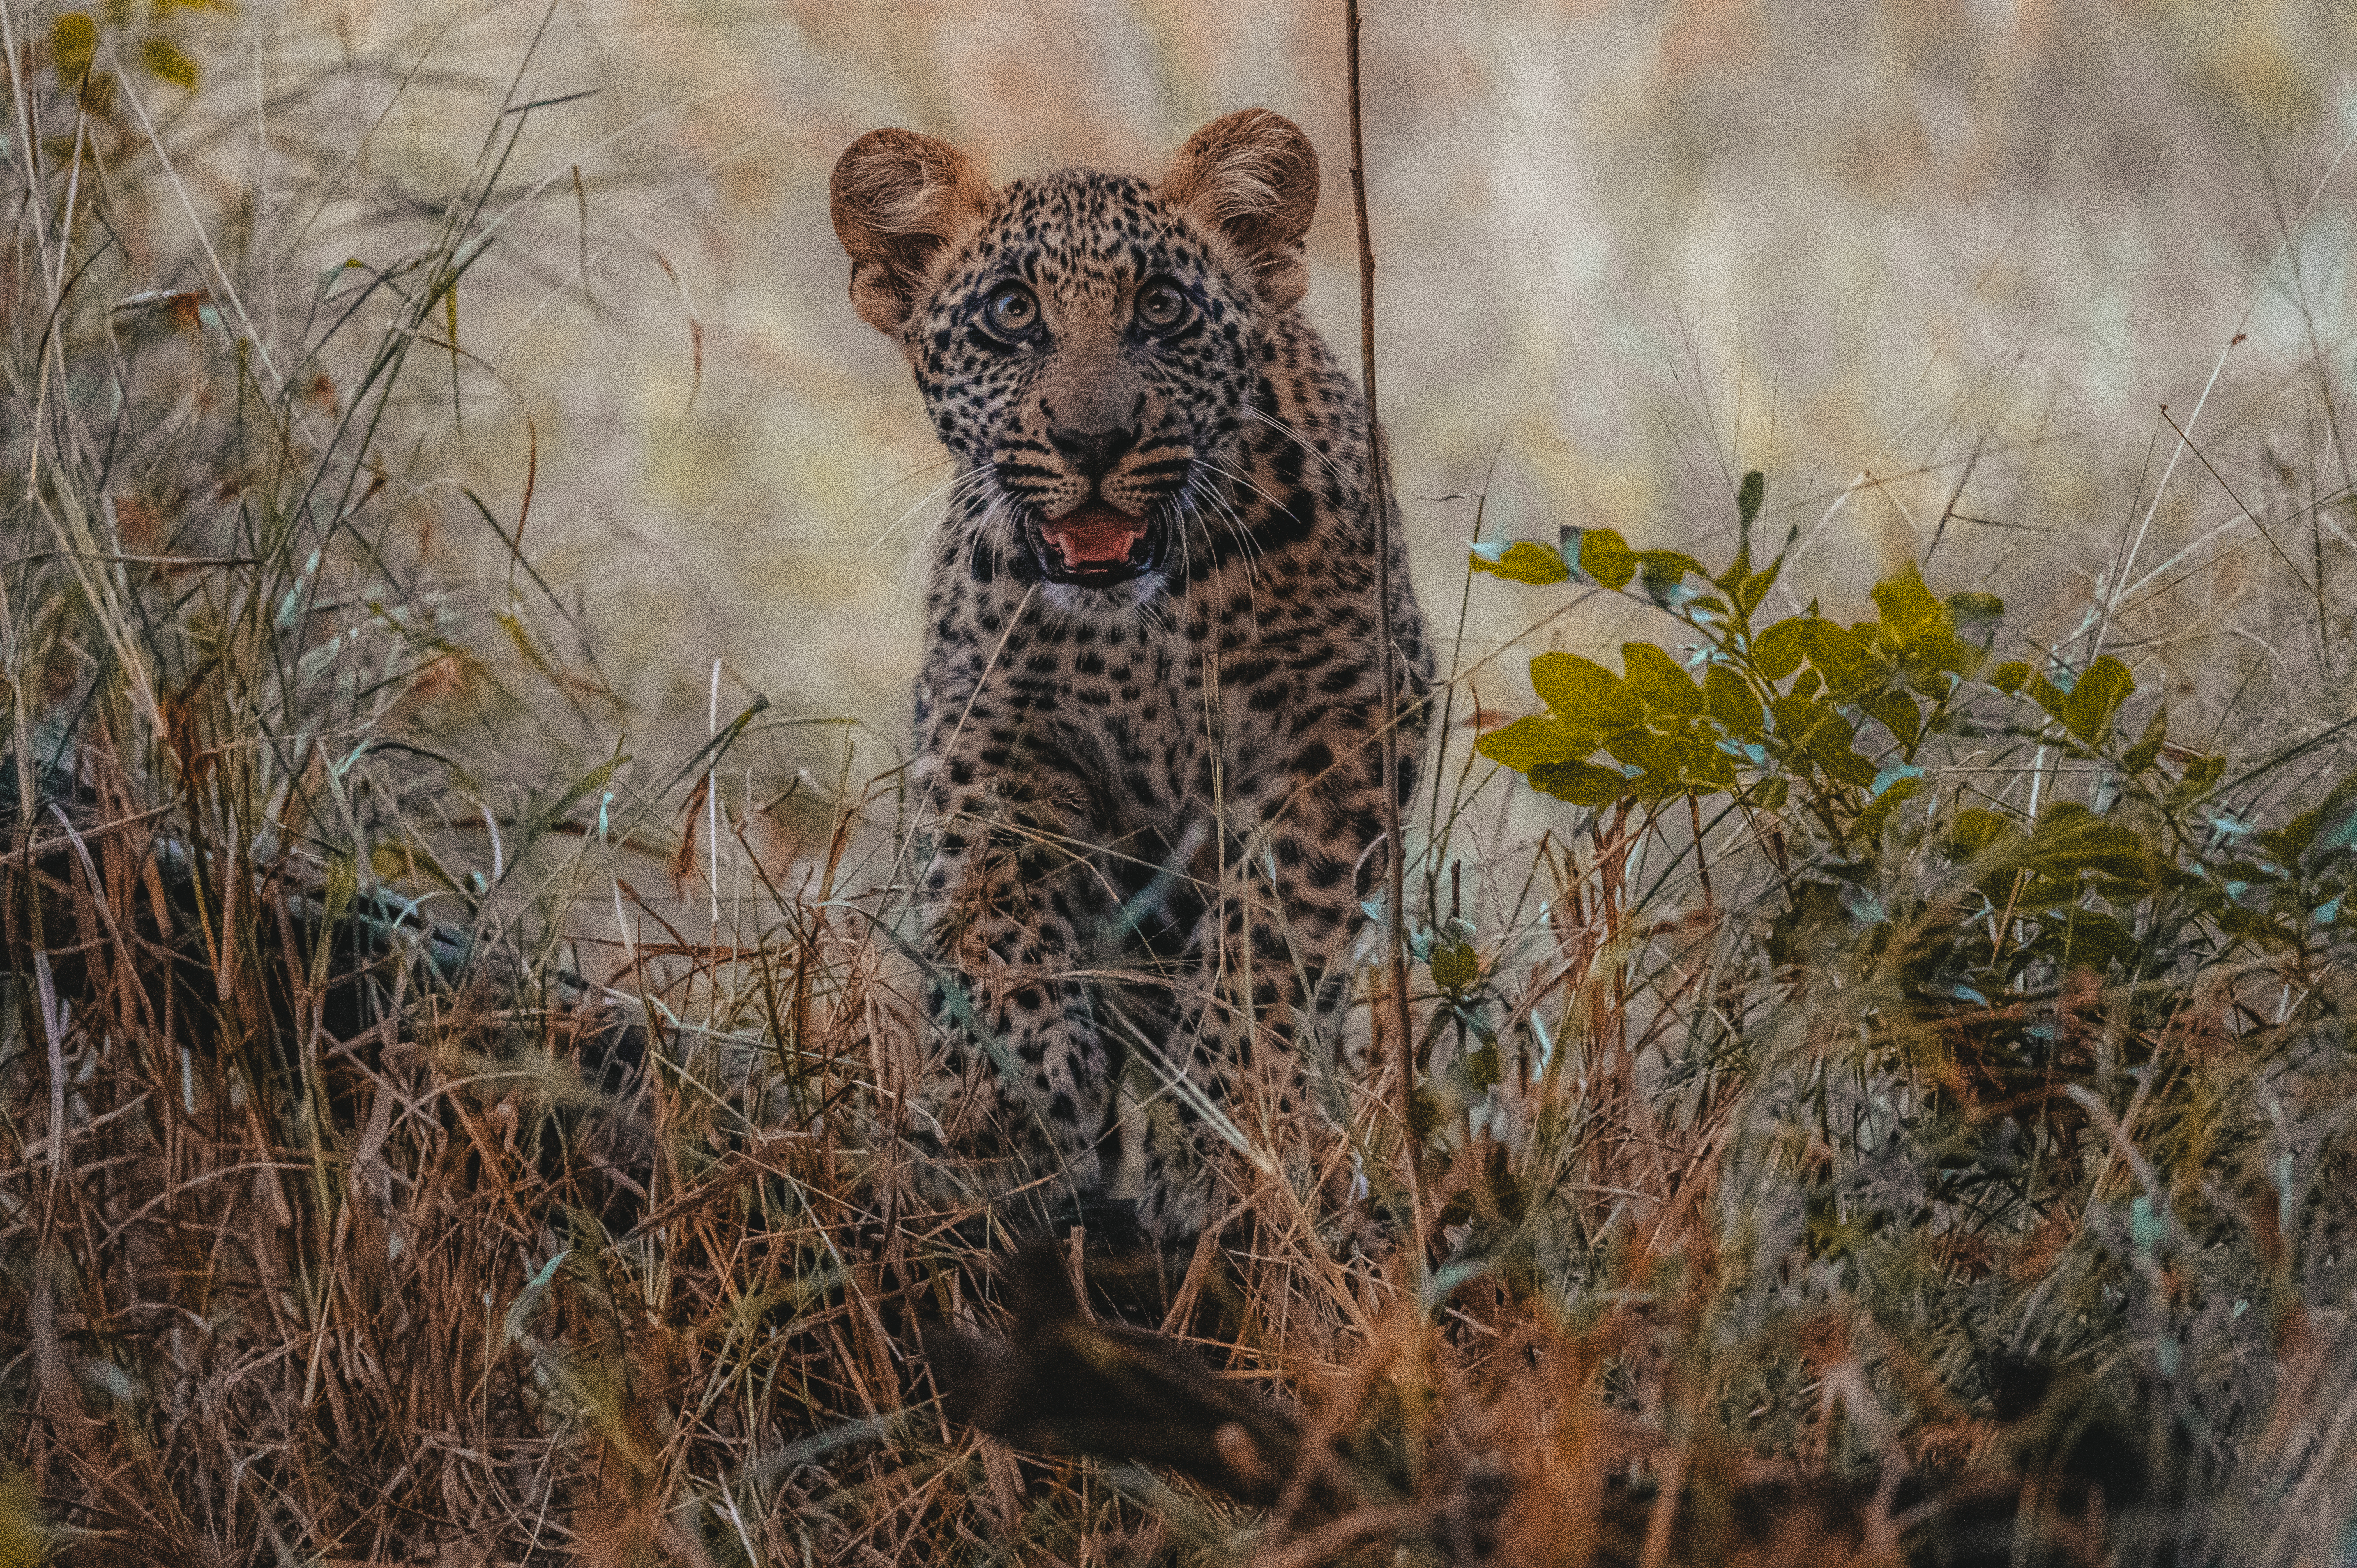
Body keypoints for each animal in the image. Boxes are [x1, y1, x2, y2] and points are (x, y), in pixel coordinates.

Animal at [829, 108, 1431, 1242]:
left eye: (1162, 308)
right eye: (1012, 314)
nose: (1094, 440)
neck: (1142, 621)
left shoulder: (1353, 718)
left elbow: (1268, 936)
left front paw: (1223, 1148)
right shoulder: (978, 721)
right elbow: (995, 917)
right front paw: (1011, 1118)